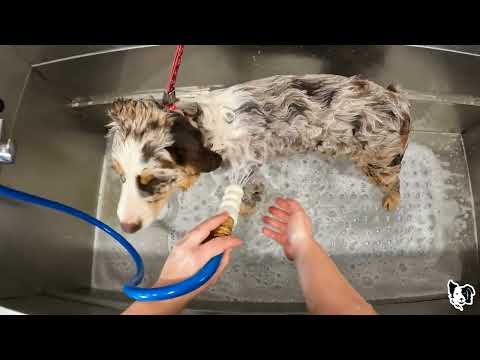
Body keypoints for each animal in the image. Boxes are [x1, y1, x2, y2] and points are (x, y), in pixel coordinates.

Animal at [107, 75, 410, 233]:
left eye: (153, 181)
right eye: (119, 176)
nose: (126, 228)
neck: (204, 126)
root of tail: (398, 100)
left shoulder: (246, 171)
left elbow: (249, 198)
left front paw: (242, 211)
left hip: (378, 162)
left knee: (395, 182)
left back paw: (392, 201)